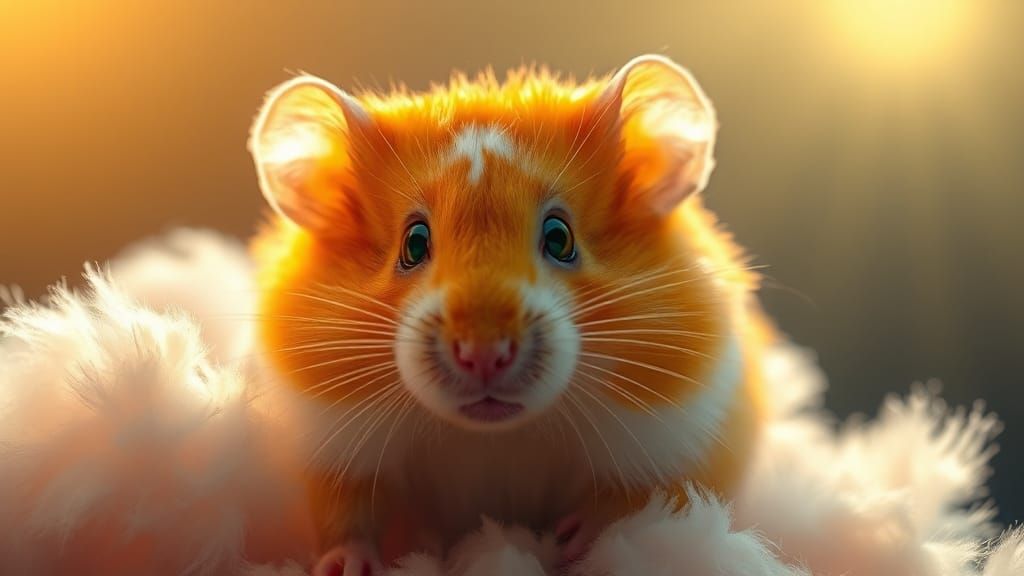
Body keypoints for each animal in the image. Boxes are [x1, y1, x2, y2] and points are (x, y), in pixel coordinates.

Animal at [248, 54, 775, 576]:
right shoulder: (335, 447)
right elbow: (348, 515)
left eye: (560, 238)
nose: (484, 354)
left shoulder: (674, 442)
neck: (496, 436)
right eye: (413, 244)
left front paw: (570, 543)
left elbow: (624, 504)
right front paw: (348, 567)